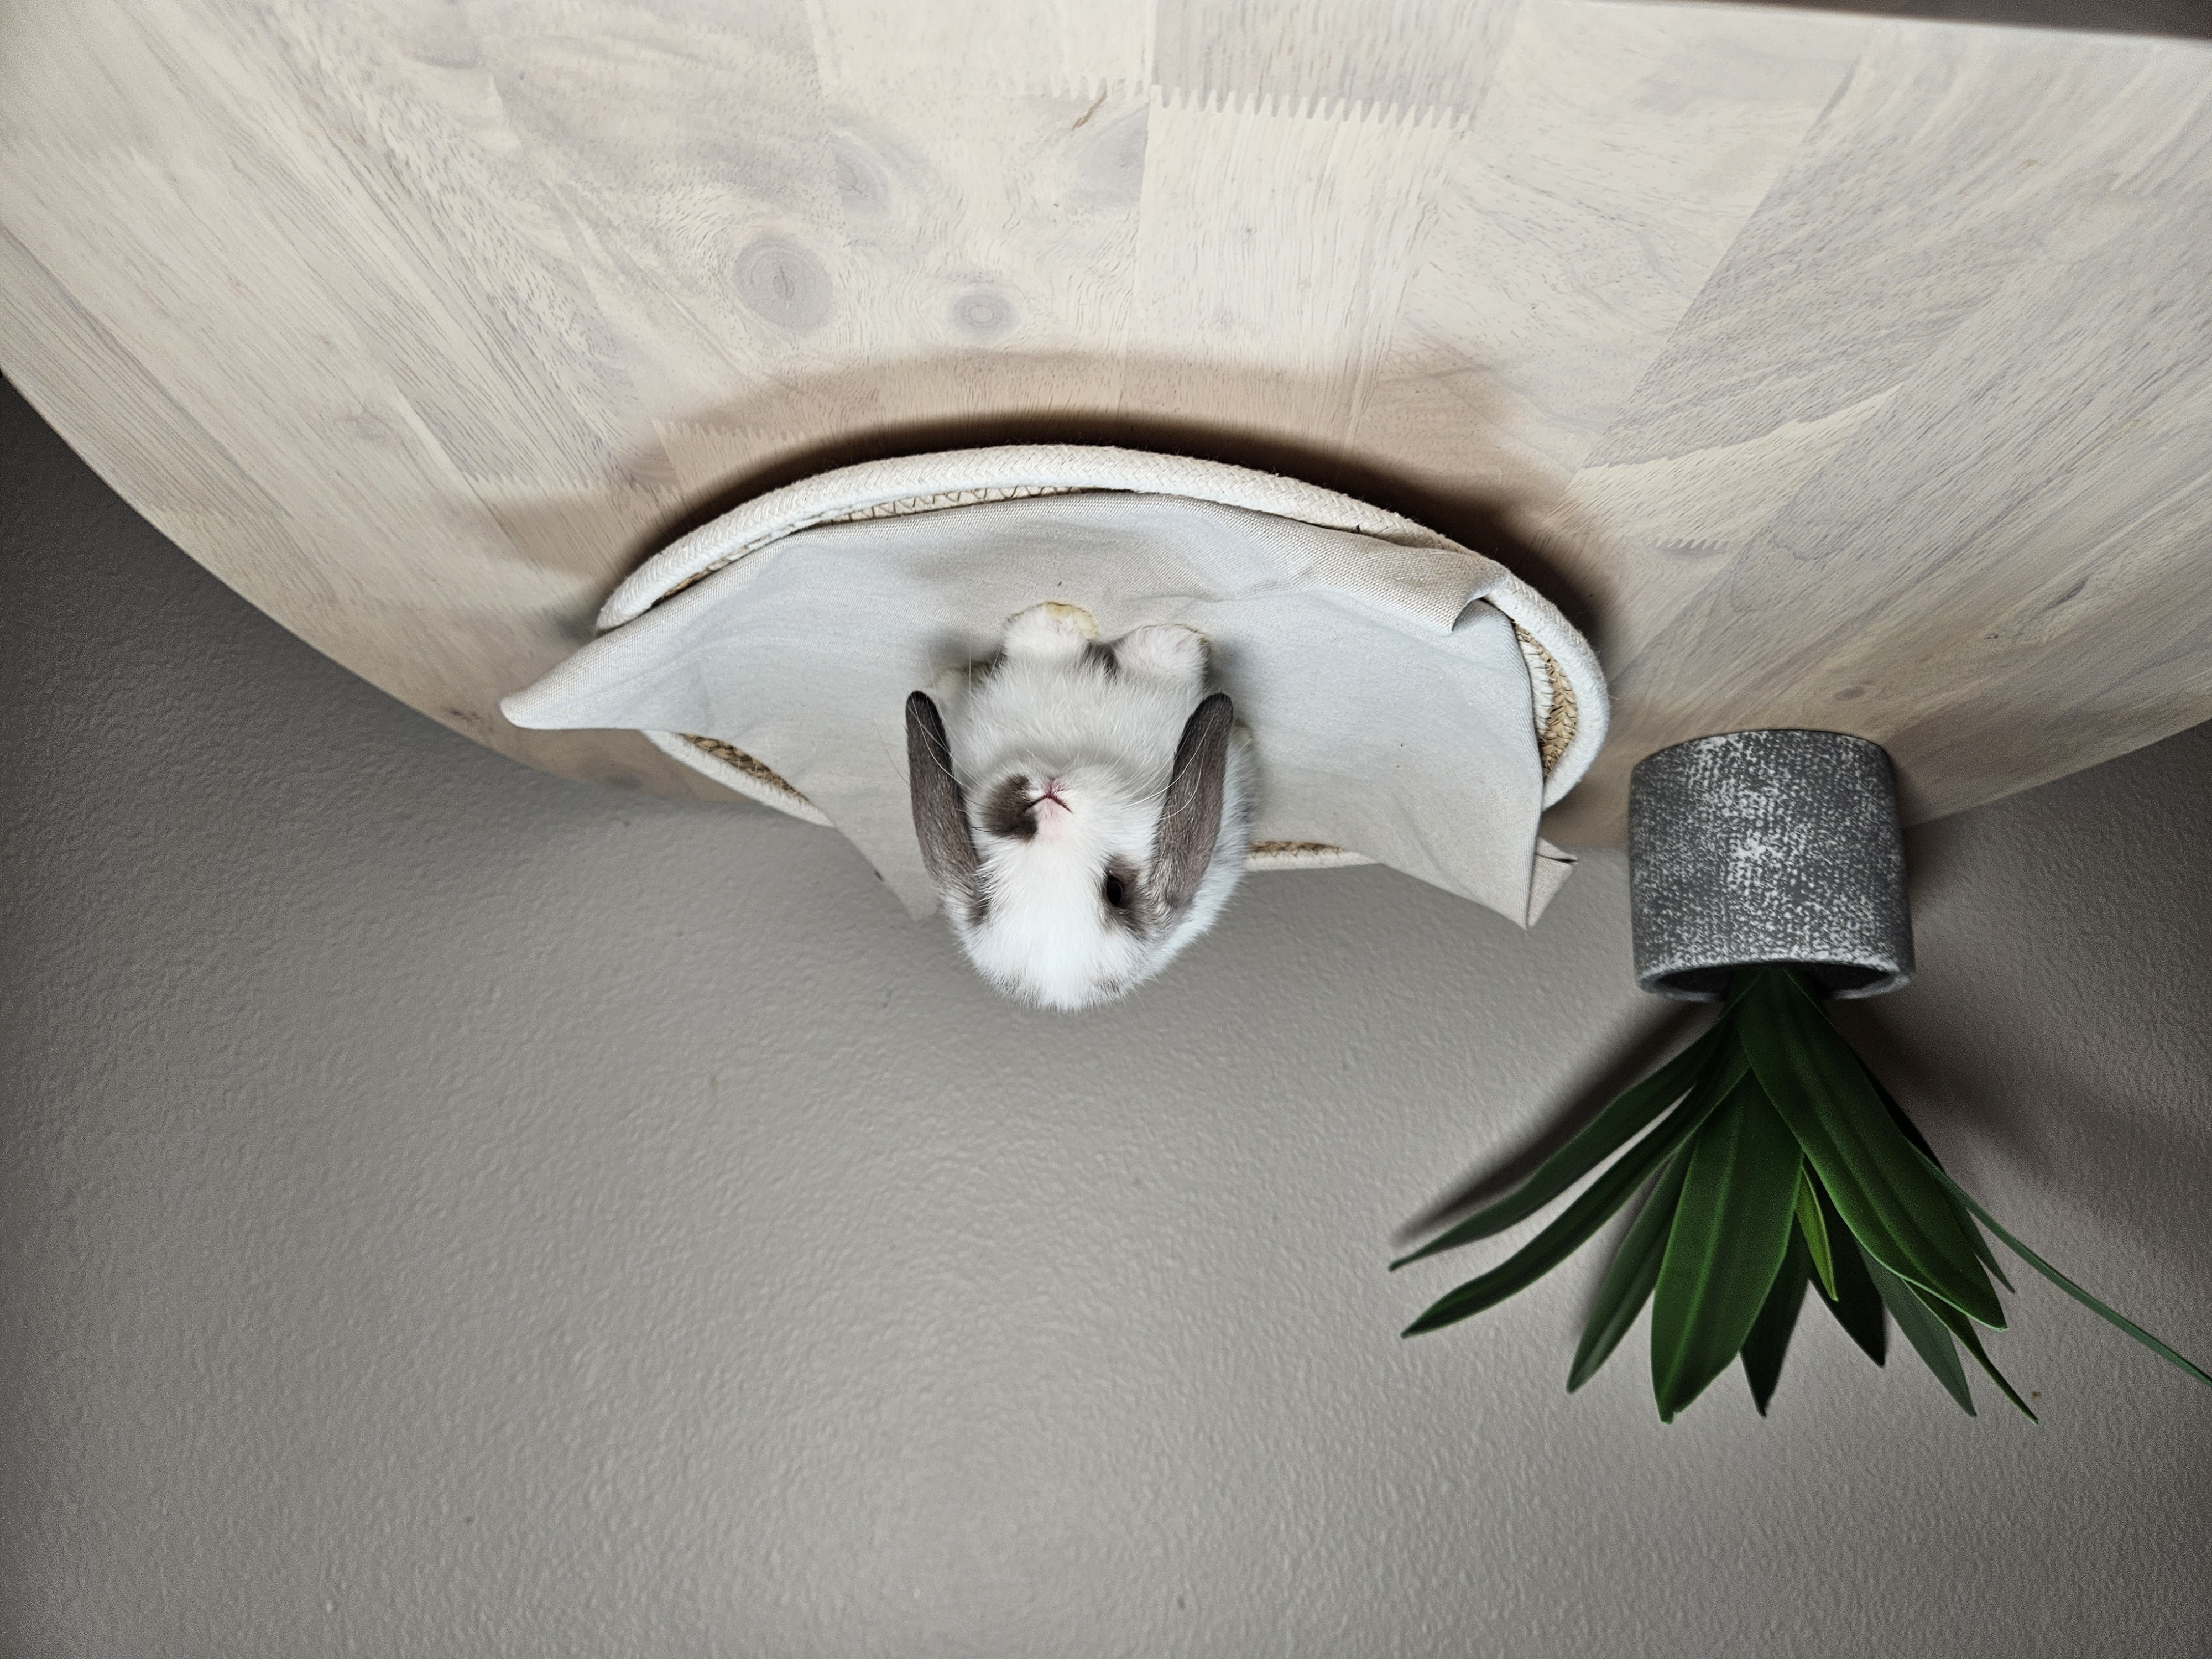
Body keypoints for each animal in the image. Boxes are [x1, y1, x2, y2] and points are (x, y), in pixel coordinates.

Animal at [904, 602, 1253, 1010]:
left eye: (1115, 890)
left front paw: (1169, 640)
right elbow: (1042, 649)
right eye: (987, 881)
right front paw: (1060, 622)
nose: (1045, 804)